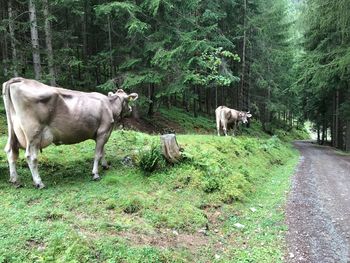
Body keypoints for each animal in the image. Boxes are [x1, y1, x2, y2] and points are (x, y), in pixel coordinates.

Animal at [2, 77, 138, 189]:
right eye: (128, 100)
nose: (131, 109)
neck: (109, 106)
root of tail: (20, 80)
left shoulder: (102, 134)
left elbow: (102, 151)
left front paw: (105, 165)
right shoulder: (103, 131)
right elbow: (97, 154)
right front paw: (95, 173)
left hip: (14, 132)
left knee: (10, 151)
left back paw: (15, 180)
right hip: (33, 134)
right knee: (31, 156)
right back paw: (39, 182)